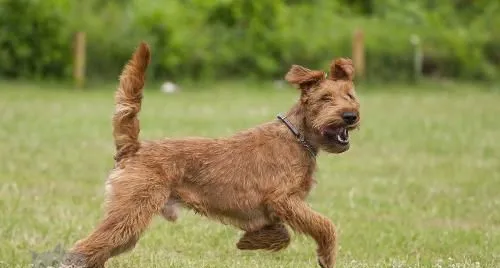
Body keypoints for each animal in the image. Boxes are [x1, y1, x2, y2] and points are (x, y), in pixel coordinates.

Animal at [62, 42, 360, 268]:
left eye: (350, 95)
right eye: (325, 99)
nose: (351, 115)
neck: (298, 137)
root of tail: (133, 147)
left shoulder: (276, 208)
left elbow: (281, 233)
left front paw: (250, 241)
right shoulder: (284, 199)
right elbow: (324, 225)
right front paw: (326, 255)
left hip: (128, 220)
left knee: (97, 252)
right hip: (131, 212)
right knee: (84, 249)